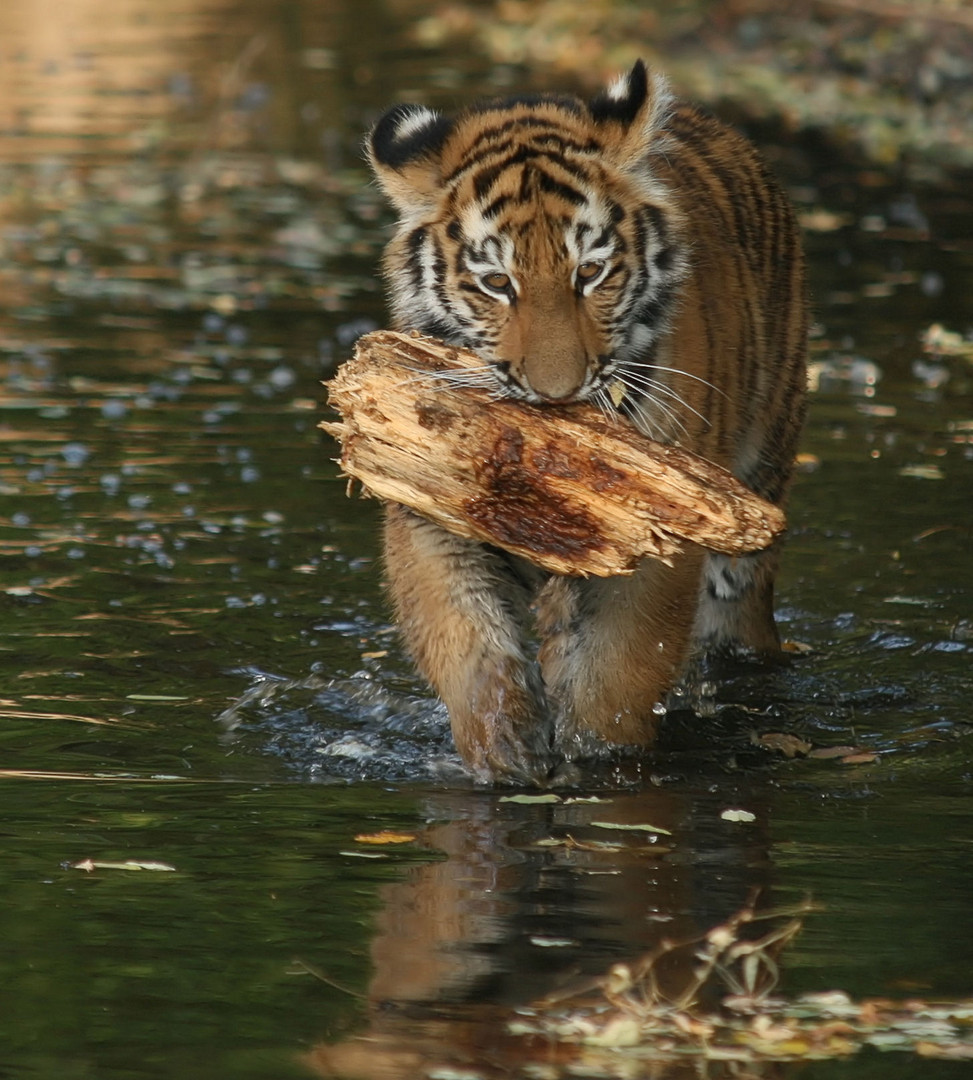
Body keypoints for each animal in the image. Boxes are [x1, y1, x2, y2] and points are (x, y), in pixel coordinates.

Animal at [365, 61, 803, 786]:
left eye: (590, 272)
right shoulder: (428, 506)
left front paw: (593, 756)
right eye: (496, 283)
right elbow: (463, 634)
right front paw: (503, 744)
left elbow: (618, 665)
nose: (555, 392)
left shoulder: (660, 533)